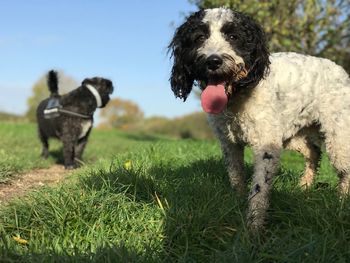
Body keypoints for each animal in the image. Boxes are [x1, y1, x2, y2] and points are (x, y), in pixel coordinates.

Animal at [169, 7, 350, 232]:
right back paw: (304, 187)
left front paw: (254, 226)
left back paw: (341, 201)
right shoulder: (229, 143)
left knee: (344, 170)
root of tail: (341, 70)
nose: (213, 61)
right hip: (290, 134)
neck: (239, 95)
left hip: (338, 135)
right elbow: (235, 175)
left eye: (233, 36)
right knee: (314, 152)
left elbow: (259, 188)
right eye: (199, 37)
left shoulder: (265, 145)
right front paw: (237, 201)